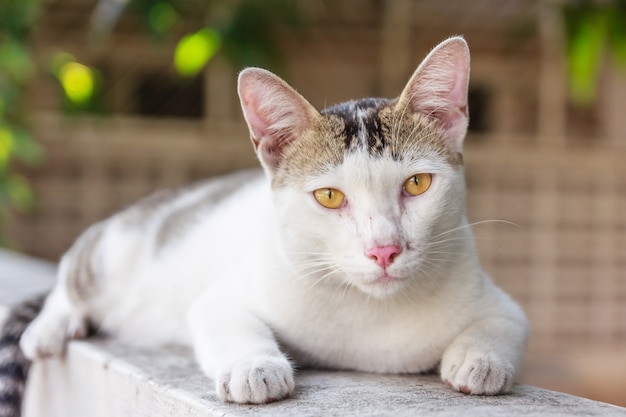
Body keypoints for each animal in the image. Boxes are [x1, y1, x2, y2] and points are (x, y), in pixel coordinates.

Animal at [0, 35, 528, 410]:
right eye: (330, 196)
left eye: (417, 184)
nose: (384, 249)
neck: (370, 315)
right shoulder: (221, 297)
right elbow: (227, 318)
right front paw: (254, 367)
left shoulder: (499, 302)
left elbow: (503, 323)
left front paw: (478, 360)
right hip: (113, 247)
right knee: (72, 269)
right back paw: (51, 325)